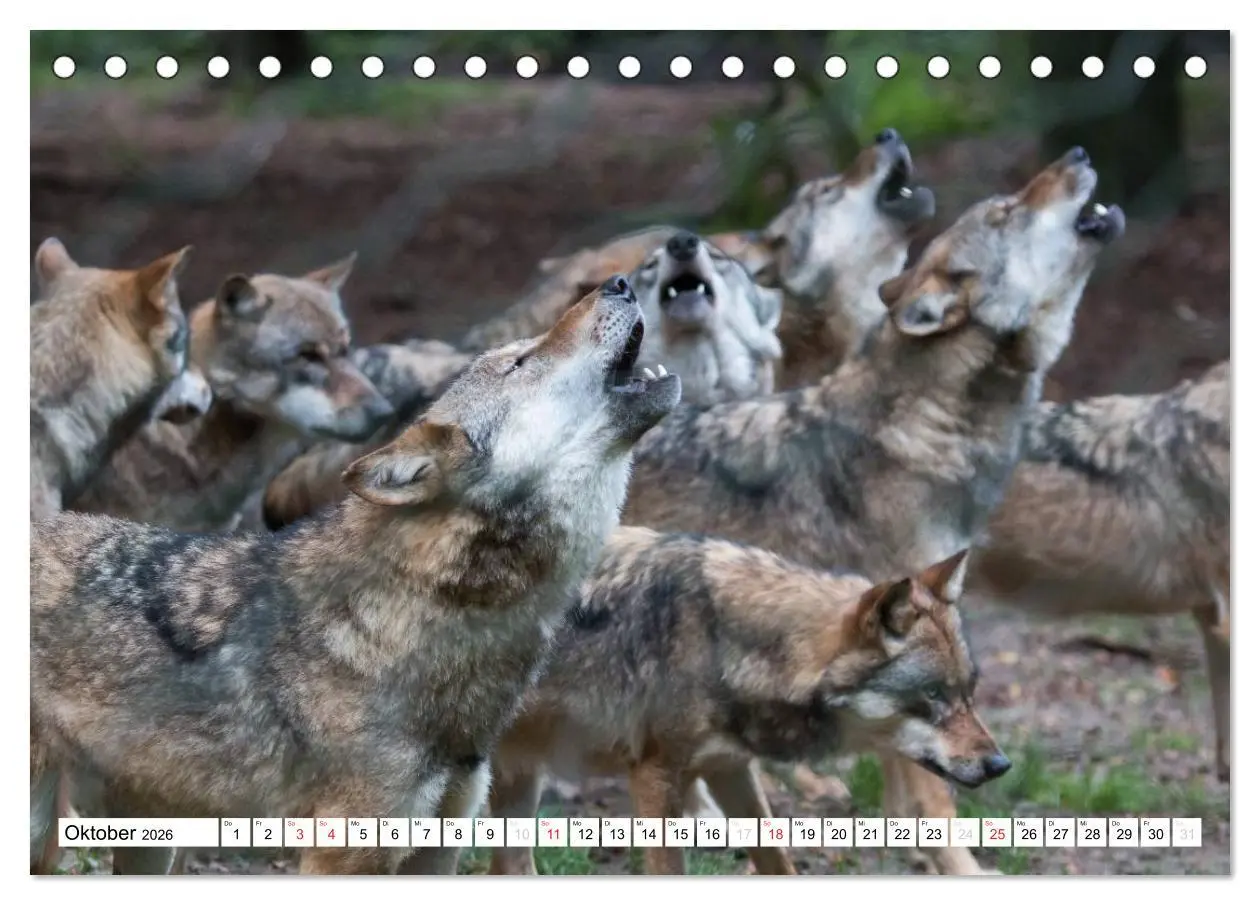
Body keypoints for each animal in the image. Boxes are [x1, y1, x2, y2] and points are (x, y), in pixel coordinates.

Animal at [489, 533, 1007, 875]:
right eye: (933, 694)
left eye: (968, 692)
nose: (1000, 765)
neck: (724, 640)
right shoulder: (655, 777)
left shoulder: (730, 769)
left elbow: (780, 863)